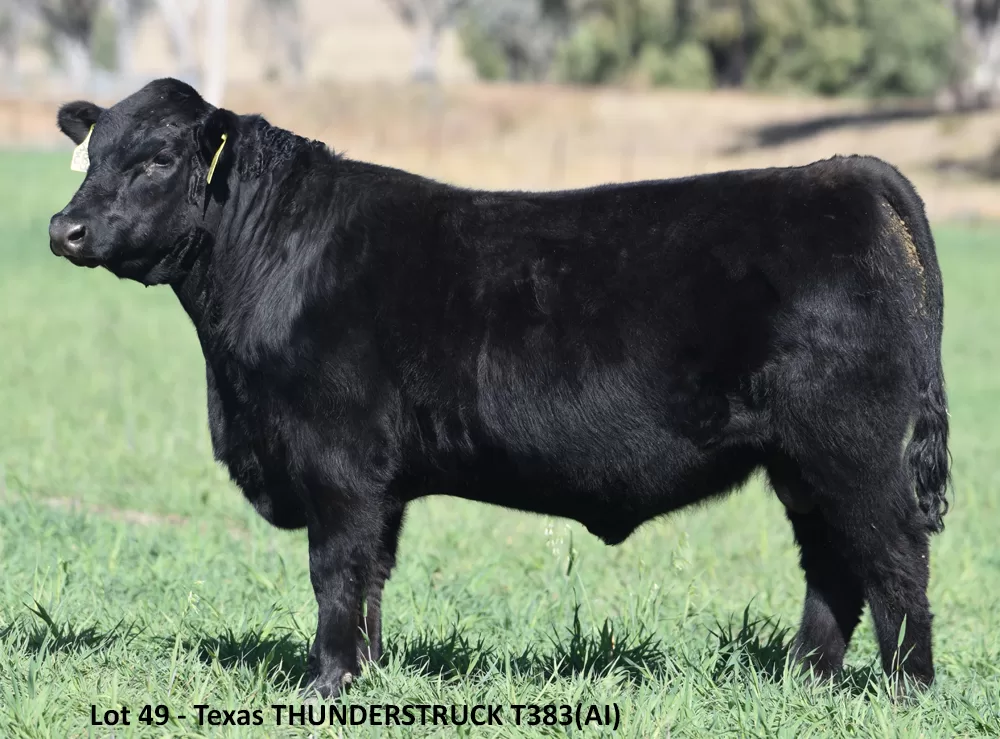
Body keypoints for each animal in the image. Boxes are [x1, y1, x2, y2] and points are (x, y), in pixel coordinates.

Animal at [48, 78, 952, 696]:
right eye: (91, 154)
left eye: (160, 159)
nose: (66, 228)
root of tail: (840, 173)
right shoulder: (378, 483)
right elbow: (372, 578)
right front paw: (369, 674)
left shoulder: (338, 464)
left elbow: (336, 572)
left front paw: (326, 683)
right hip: (802, 462)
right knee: (832, 566)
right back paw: (802, 678)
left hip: (854, 450)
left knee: (895, 559)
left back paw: (906, 689)